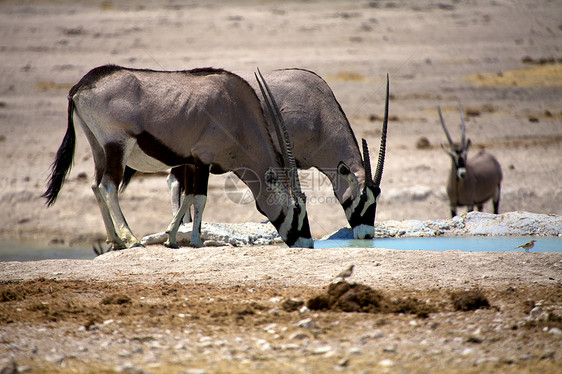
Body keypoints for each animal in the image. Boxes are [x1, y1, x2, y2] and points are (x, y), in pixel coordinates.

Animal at [42, 65, 316, 248]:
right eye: (296, 209)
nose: (307, 242)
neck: (236, 111)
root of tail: (81, 86)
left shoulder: (190, 160)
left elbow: (187, 197)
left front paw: (172, 238)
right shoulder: (203, 158)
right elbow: (200, 198)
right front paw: (196, 240)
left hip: (98, 147)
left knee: (95, 185)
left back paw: (116, 240)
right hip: (117, 145)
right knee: (108, 186)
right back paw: (130, 239)